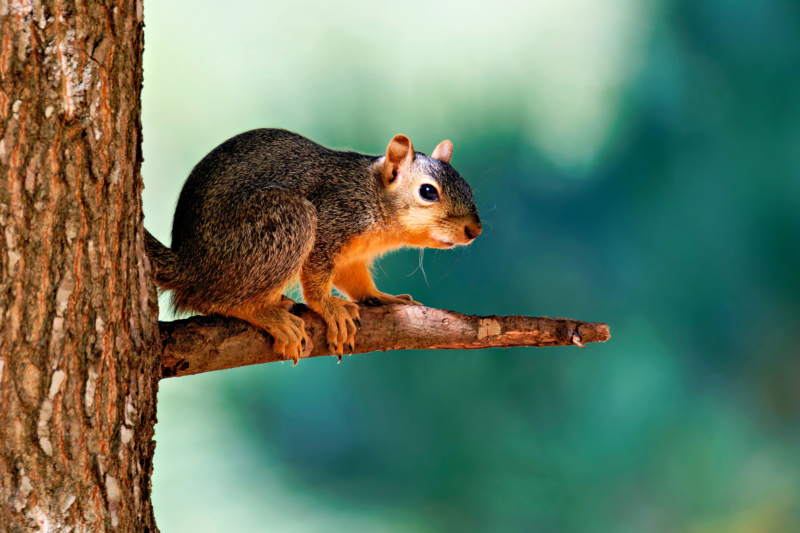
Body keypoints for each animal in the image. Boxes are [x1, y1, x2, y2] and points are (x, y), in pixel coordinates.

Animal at [144, 127, 482, 364]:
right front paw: (329, 307)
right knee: (217, 300)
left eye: (468, 186)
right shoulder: (331, 222)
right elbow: (316, 278)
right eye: (428, 192)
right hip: (285, 223)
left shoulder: (351, 258)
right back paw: (269, 315)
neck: (373, 197)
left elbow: (355, 282)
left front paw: (381, 297)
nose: (475, 230)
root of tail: (190, 266)